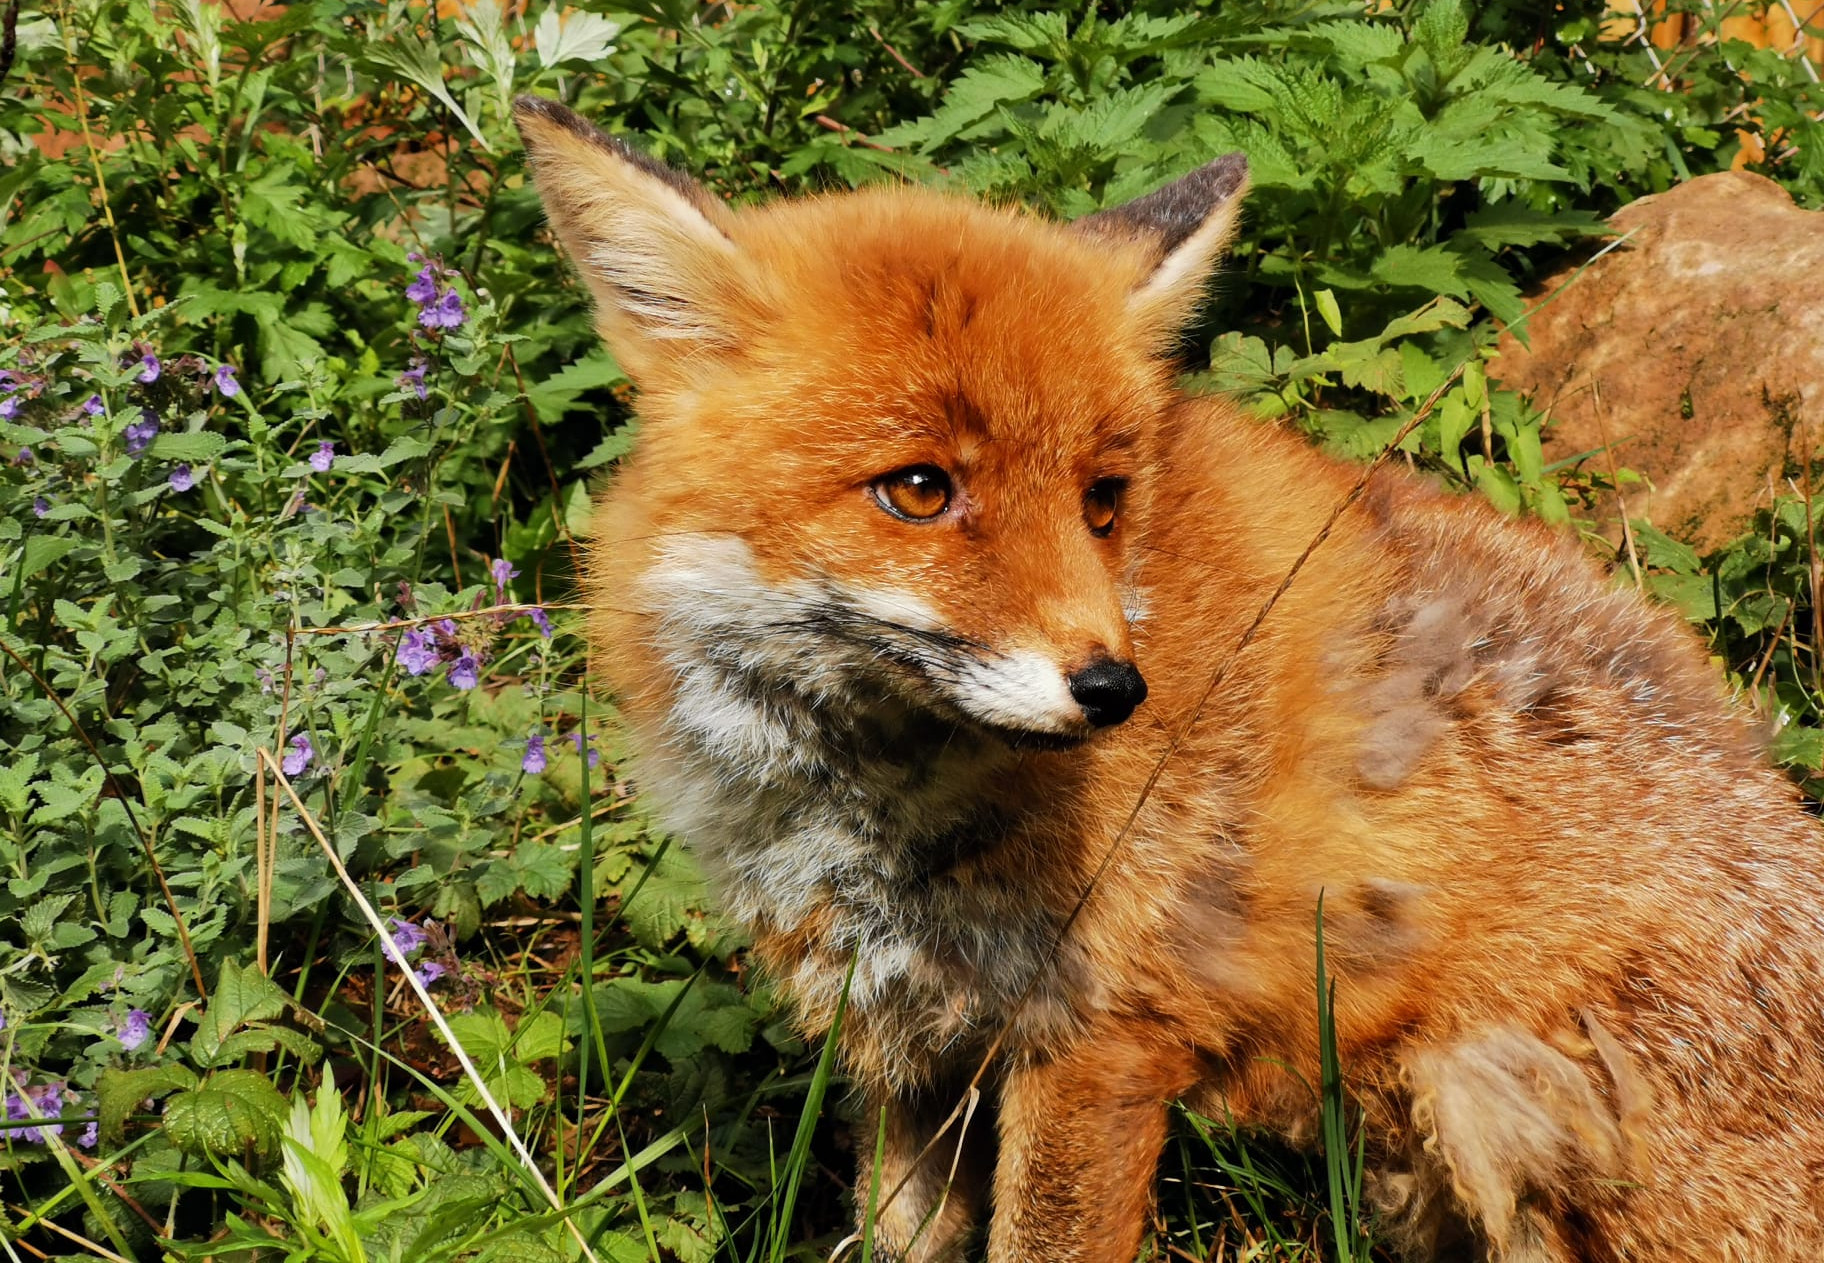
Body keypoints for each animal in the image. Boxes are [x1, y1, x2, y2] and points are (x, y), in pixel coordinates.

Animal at [514, 94, 1824, 1262]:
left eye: (1103, 501)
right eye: (920, 489)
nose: (1113, 691)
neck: (878, 807)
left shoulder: (1098, 1033)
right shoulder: (903, 1034)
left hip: (1489, 1092)